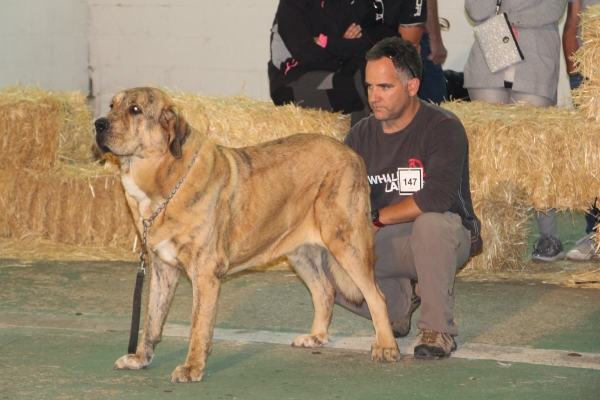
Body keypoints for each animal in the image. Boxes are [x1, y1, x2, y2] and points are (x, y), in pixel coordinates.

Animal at [95, 86, 398, 382]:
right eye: (112, 106)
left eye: (135, 109)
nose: (98, 124)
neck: (166, 181)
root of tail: (351, 153)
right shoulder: (162, 270)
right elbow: (151, 321)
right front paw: (139, 358)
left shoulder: (204, 272)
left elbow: (198, 326)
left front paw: (192, 368)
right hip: (299, 252)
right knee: (324, 291)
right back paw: (316, 337)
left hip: (345, 242)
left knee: (376, 296)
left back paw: (385, 346)